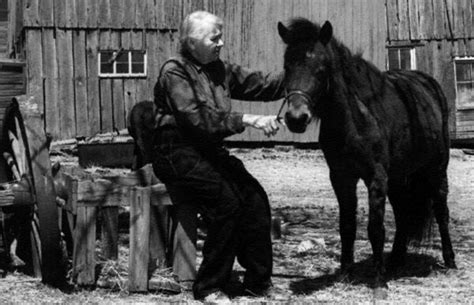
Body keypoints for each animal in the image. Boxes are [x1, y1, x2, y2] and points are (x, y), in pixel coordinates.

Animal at [278, 18, 456, 284]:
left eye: (321, 69)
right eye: (287, 67)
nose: (296, 118)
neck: (356, 119)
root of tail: (429, 84)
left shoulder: (376, 177)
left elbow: (375, 228)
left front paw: (378, 278)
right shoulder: (341, 177)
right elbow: (347, 226)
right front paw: (346, 272)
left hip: (436, 169)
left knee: (441, 211)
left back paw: (449, 260)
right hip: (399, 178)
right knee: (403, 215)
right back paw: (395, 261)